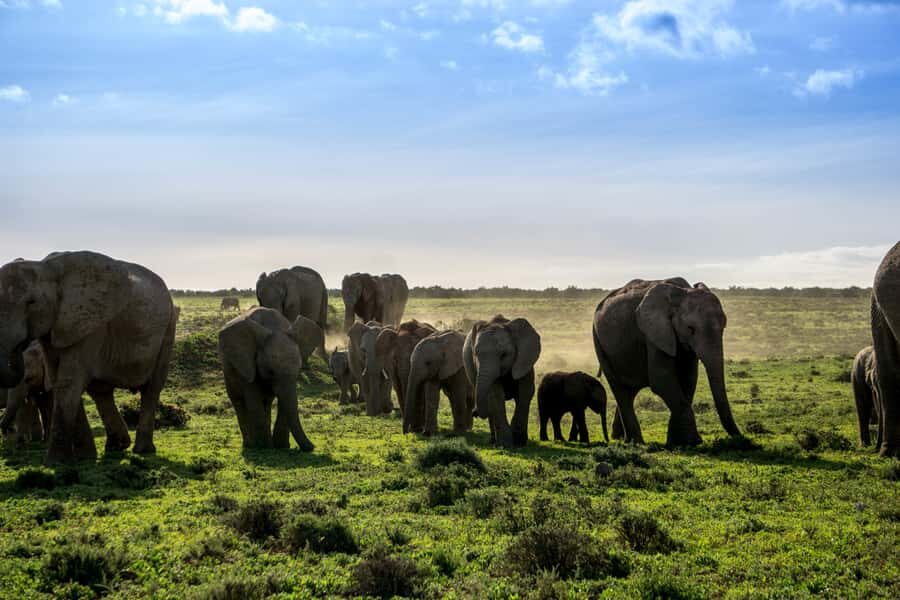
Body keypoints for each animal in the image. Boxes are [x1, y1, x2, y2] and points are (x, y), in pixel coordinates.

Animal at [0, 251, 178, 464]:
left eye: (31, 303)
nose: (20, 346)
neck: (46, 267)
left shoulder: (90, 325)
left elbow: (69, 382)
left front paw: (56, 463)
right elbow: (58, 380)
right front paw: (82, 459)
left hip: (168, 328)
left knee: (151, 389)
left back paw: (142, 451)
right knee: (101, 392)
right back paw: (115, 447)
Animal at [218, 307, 315, 451]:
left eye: (298, 370)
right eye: (271, 372)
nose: (312, 447)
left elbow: (285, 401)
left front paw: (281, 447)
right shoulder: (247, 363)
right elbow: (253, 399)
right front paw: (262, 447)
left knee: (267, 403)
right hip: (228, 370)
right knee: (239, 402)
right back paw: (251, 445)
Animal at [463, 315, 541, 448]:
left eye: (504, 355)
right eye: (475, 354)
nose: (474, 412)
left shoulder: (524, 361)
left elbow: (525, 393)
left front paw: (519, 442)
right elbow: (496, 396)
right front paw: (506, 444)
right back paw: (494, 441)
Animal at [592, 278, 741, 447]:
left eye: (724, 326)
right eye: (690, 329)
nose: (741, 439)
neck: (682, 293)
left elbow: (688, 379)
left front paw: (677, 442)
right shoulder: (655, 334)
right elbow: (661, 380)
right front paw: (692, 442)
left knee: (630, 391)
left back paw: (622, 438)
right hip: (599, 343)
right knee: (621, 391)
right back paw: (637, 443)